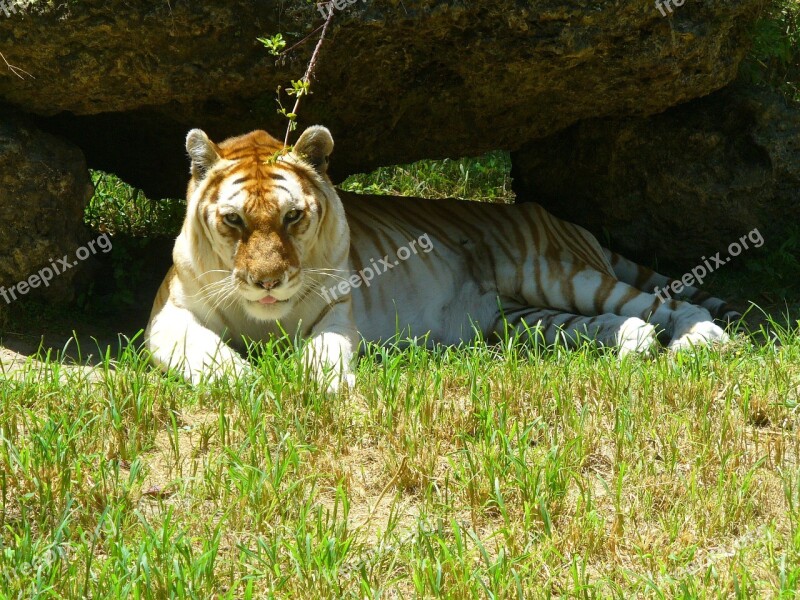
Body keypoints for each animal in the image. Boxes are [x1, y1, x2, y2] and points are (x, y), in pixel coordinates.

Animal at [145, 125, 736, 392]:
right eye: (234, 220)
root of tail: (561, 219)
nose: (268, 281)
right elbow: (207, 355)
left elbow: (325, 352)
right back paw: (635, 343)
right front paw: (250, 384)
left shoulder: (335, 313)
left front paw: (325, 386)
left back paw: (701, 341)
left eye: (292, 217)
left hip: (557, 275)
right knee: (610, 324)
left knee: (664, 303)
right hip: (519, 318)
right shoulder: (168, 316)